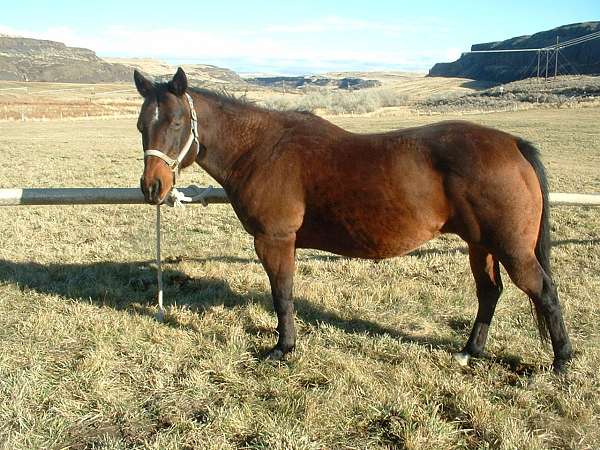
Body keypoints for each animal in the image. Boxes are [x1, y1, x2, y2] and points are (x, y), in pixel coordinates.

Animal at [136, 68, 572, 372]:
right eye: (142, 125)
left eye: (177, 123)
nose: (152, 187)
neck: (262, 149)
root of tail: (513, 144)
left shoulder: (275, 240)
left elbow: (282, 295)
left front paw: (283, 348)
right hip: (480, 244)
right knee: (489, 292)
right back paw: (469, 352)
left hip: (512, 249)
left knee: (544, 292)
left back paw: (562, 363)